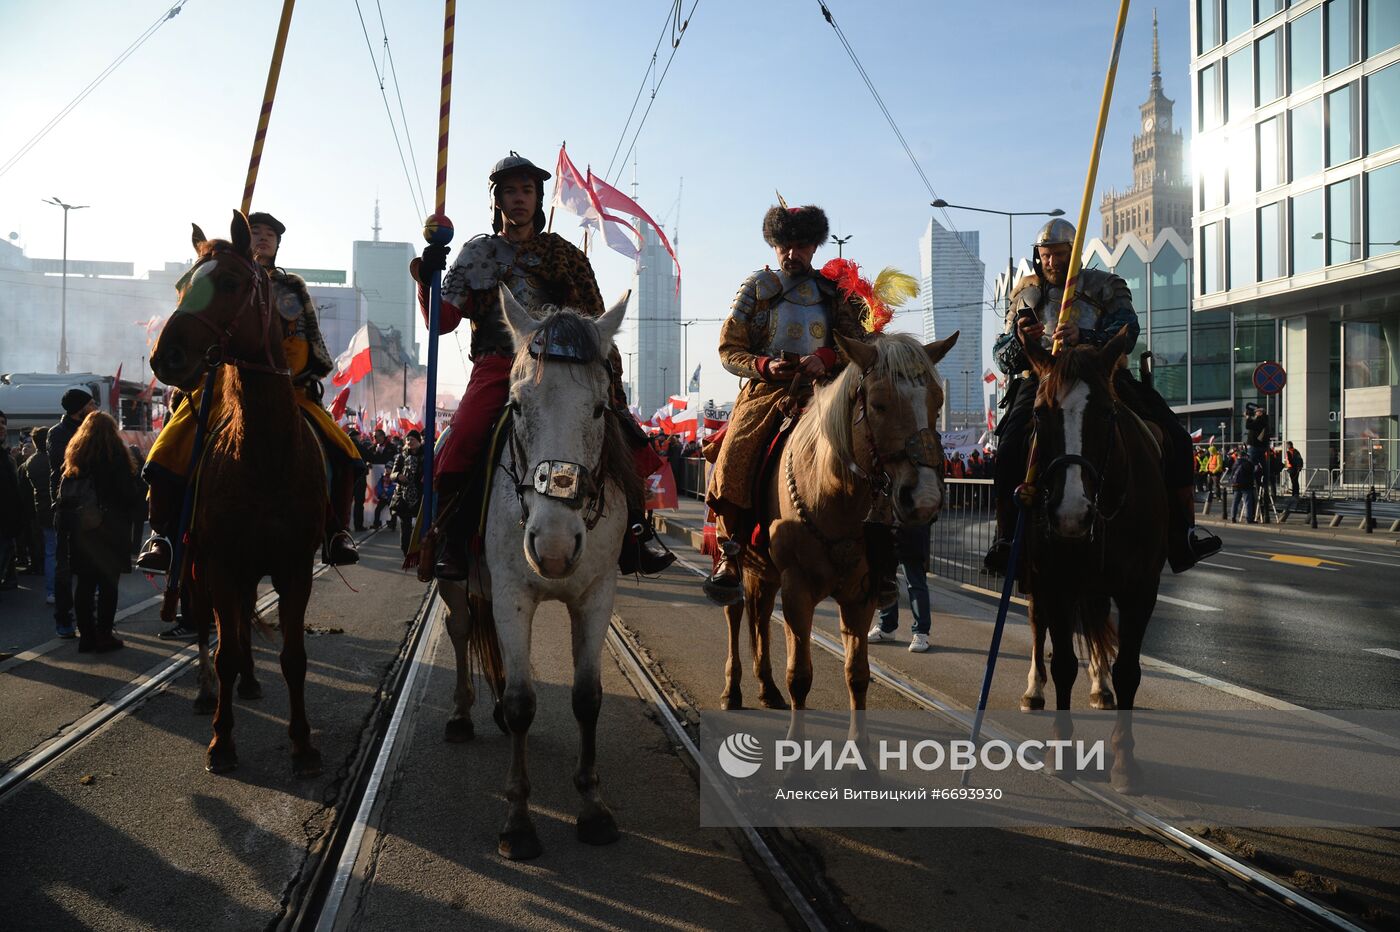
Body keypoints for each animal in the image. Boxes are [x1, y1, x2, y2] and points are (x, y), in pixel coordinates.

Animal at [149, 209, 324, 778]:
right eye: (182, 285)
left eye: (228, 282)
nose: (166, 358)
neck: (264, 457)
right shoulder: (221, 561)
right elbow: (223, 646)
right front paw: (221, 742)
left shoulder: (294, 567)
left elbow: (294, 657)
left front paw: (303, 744)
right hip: (199, 562)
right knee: (210, 626)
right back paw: (210, 690)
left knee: (242, 621)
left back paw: (248, 680)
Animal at [436, 281, 635, 856]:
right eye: (517, 406)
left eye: (599, 409)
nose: (553, 547)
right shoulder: (511, 594)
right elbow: (524, 702)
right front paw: (519, 821)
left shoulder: (596, 594)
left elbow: (588, 698)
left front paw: (593, 808)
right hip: (457, 582)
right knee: (461, 630)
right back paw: (463, 714)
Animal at [722, 328, 963, 716]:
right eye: (878, 404)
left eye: (937, 402)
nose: (924, 498)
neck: (833, 494)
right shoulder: (797, 591)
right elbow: (799, 678)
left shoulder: (859, 596)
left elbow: (857, 676)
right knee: (735, 610)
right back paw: (732, 689)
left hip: (764, 568)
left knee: (760, 614)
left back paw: (766, 687)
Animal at [1013, 326, 1164, 789]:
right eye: (1040, 414)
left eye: (1107, 413)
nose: (1070, 515)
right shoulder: (1054, 581)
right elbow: (1063, 662)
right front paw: (1060, 752)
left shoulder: (1140, 589)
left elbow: (1129, 669)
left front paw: (1125, 761)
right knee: (1038, 624)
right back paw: (1034, 690)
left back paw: (1100, 687)